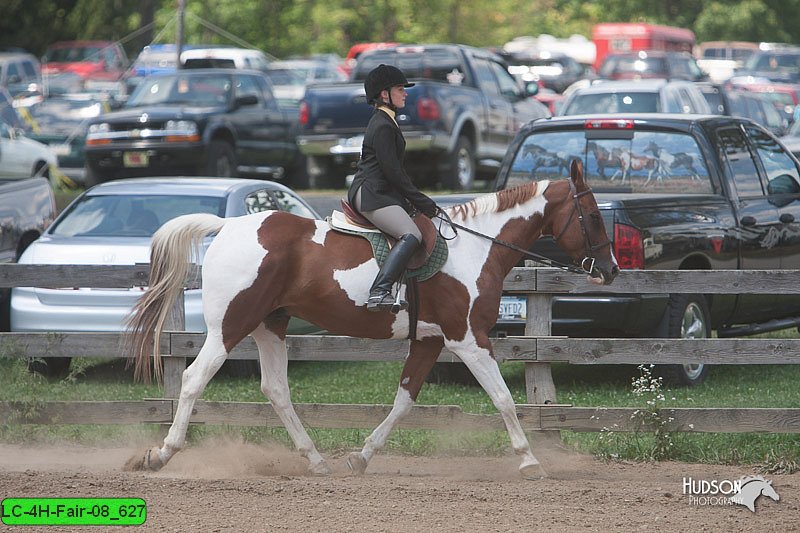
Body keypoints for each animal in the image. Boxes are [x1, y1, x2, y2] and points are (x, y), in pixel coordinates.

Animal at [123, 158, 620, 478]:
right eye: (594, 217)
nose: (611, 270)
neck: (477, 247)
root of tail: (228, 226)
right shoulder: (468, 338)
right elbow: (503, 399)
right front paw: (530, 460)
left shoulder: (430, 341)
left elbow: (404, 401)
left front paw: (361, 458)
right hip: (230, 327)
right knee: (194, 379)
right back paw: (160, 455)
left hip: (270, 326)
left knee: (276, 389)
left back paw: (317, 461)